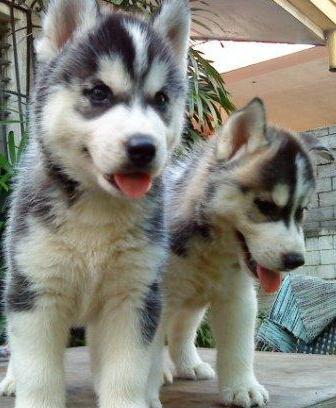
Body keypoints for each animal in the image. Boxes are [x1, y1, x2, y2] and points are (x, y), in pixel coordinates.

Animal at [0, 0, 190, 408]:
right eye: (100, 93)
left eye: (161, 99)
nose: (143, 148)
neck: (97, 209)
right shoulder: (37, 293)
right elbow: (38, 375)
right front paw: (30, 387)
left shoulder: (133, 298)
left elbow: (125, 374)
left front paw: (129, 395)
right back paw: (11, 379)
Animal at [161, 97, 334, 406]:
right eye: (265, 206)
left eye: (301, 211)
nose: (295, 261)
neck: (209, 248)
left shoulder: (238, 298)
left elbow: (238, 348)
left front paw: (242, 387)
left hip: (192, 300)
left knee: (182, 329)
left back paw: (188, 365)